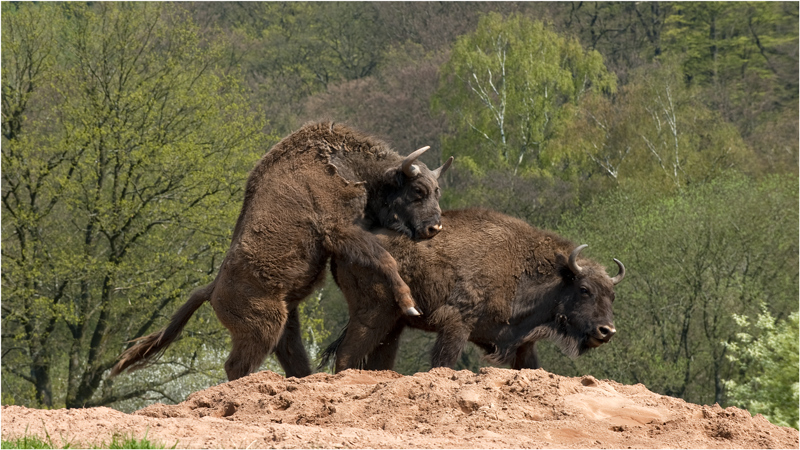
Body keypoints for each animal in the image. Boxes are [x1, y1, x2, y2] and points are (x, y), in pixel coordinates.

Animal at [109, 120, 454, 380]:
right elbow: (384, 259)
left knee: (292, 360)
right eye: (418, 190)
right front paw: (409, 305)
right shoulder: (341, 231)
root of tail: (212, 289)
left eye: (438, 190)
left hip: (286, 326)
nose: (434, 227)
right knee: (236, 365)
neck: (348, 166)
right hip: (264, 327)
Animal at [324, 207, 624, 372]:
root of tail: (344, 242)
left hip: (393, 324)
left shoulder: (521, 343)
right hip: (372, 315)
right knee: (347, 355)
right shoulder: (457, 325)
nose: (607, 331)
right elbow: (443, 362)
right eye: (584, 289)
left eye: (612, 295)